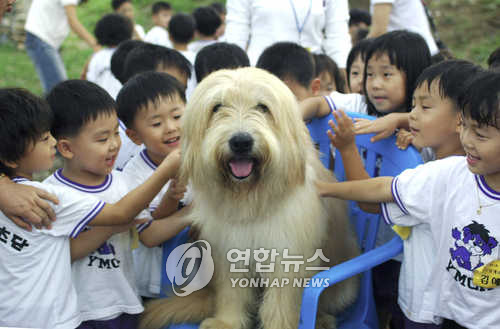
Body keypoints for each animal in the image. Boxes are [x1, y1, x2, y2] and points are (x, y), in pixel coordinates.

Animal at [140, 67, 360, 328]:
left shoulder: (287, 254)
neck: (251, 198)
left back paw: (323, 319)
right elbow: (232, 292)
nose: (241, 141)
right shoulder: (228, 249)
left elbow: (281, 302)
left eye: (263, 107)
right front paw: (227, 322)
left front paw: (279, 325)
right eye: (217, 107)